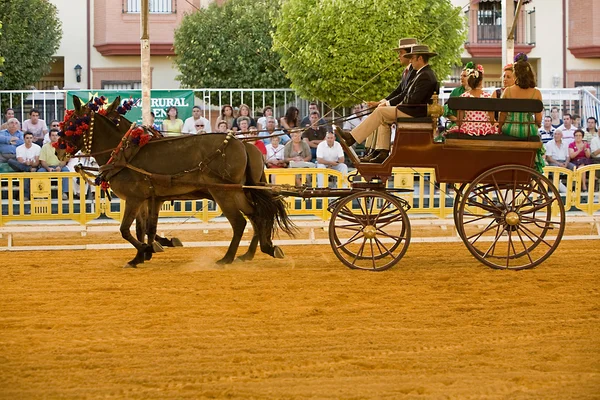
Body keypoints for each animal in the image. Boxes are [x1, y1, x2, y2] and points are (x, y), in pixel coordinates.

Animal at [58, 95, 292, 268]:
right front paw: (145, 253)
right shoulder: (150, 199)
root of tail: (241, 144)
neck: (125, 152)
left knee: (240, 222)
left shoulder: (135, 199)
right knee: (257, 214)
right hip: (238, 191)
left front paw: (144, 251)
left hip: (224, 192)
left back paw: (227, 258)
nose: (58, 149)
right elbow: (146, 228)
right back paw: (260, 250)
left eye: (72, 123)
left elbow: (126, 230)